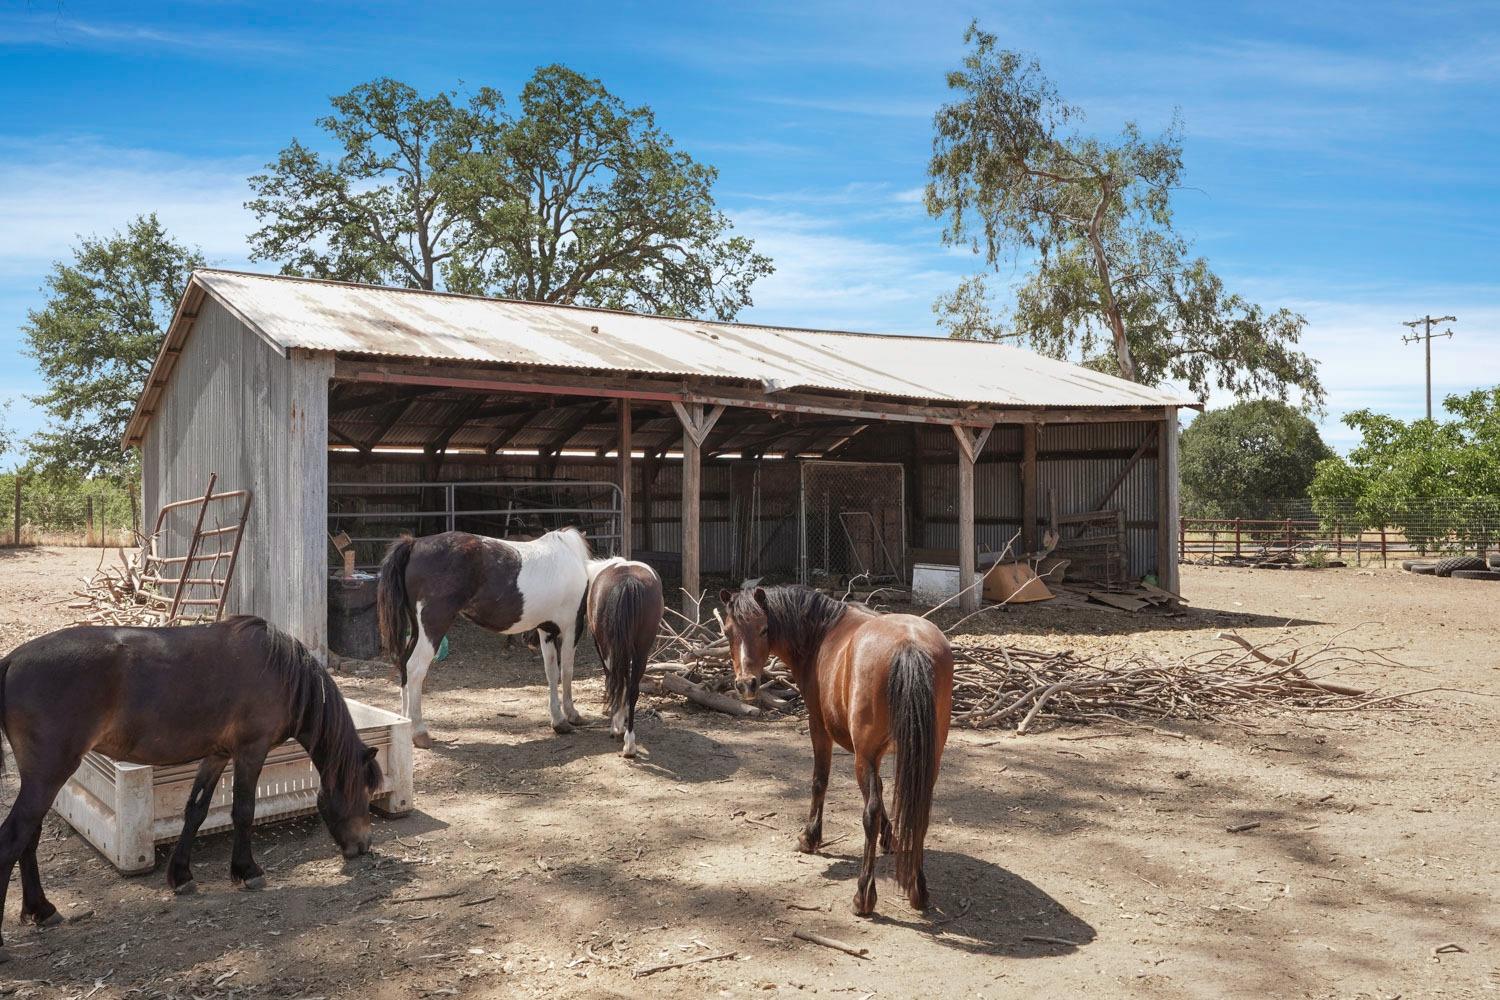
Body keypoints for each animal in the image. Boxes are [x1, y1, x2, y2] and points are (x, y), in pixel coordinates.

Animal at [0, 617, 381, 959]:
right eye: (363, 792)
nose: (363, 845)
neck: (281, 673)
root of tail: (12, 661)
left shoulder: (217, 755)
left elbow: (196, 811)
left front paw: (181, 874)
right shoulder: (250, 751)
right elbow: (243, 811)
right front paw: (247, 871)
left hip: (41, 779)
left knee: (29, 837)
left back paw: (42, 909)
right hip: (49, 775)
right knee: (13, 838)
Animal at [381, 527, 591, 746]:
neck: (570, 555)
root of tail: (414, 544)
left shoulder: (546, 630)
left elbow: (551, 673)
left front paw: (558, 720)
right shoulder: (572, 627)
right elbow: (567, 671)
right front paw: (572, 715)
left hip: (417, 629)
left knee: (404, 665)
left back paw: (407, 723)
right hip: (433, 628)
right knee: (415, 669)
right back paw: (419, 732)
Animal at [585, 554, 663, 758]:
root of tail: (629, 582)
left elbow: (611, 680)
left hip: (609, 648)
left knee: (616, 680)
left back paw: (618, 729)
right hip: (641, 650)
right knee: (633, 689)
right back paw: (630, 743)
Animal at [720, 581, 954, 917]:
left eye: (764, 629)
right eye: (728, 632)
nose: (746, 684)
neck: (822, 633)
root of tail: (910, 645)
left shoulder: (821, 727)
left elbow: (821, 781)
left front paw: (810, 837)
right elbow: (881, 789)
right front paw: (890, 837)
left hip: (865, 756)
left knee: (869, 813)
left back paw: (863, 896)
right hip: (925, 758)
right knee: (919, 810)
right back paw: (916, 889)